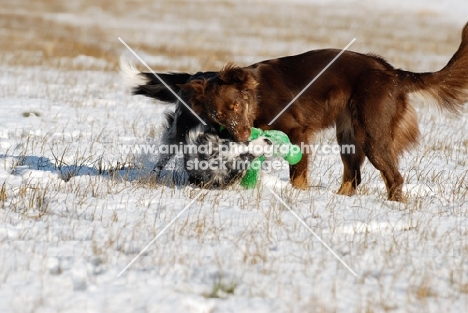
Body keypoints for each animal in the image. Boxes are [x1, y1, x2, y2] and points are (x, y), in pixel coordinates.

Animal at [178, 22, 464, 200]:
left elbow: (297, 172)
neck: (258, 97)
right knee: (354, 176)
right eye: (219, 117)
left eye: (236, 105)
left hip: (372, 134)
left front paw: (298, 195)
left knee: (394, 177)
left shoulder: (297, 131)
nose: (242, 137)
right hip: (349, 136)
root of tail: (392, 73)